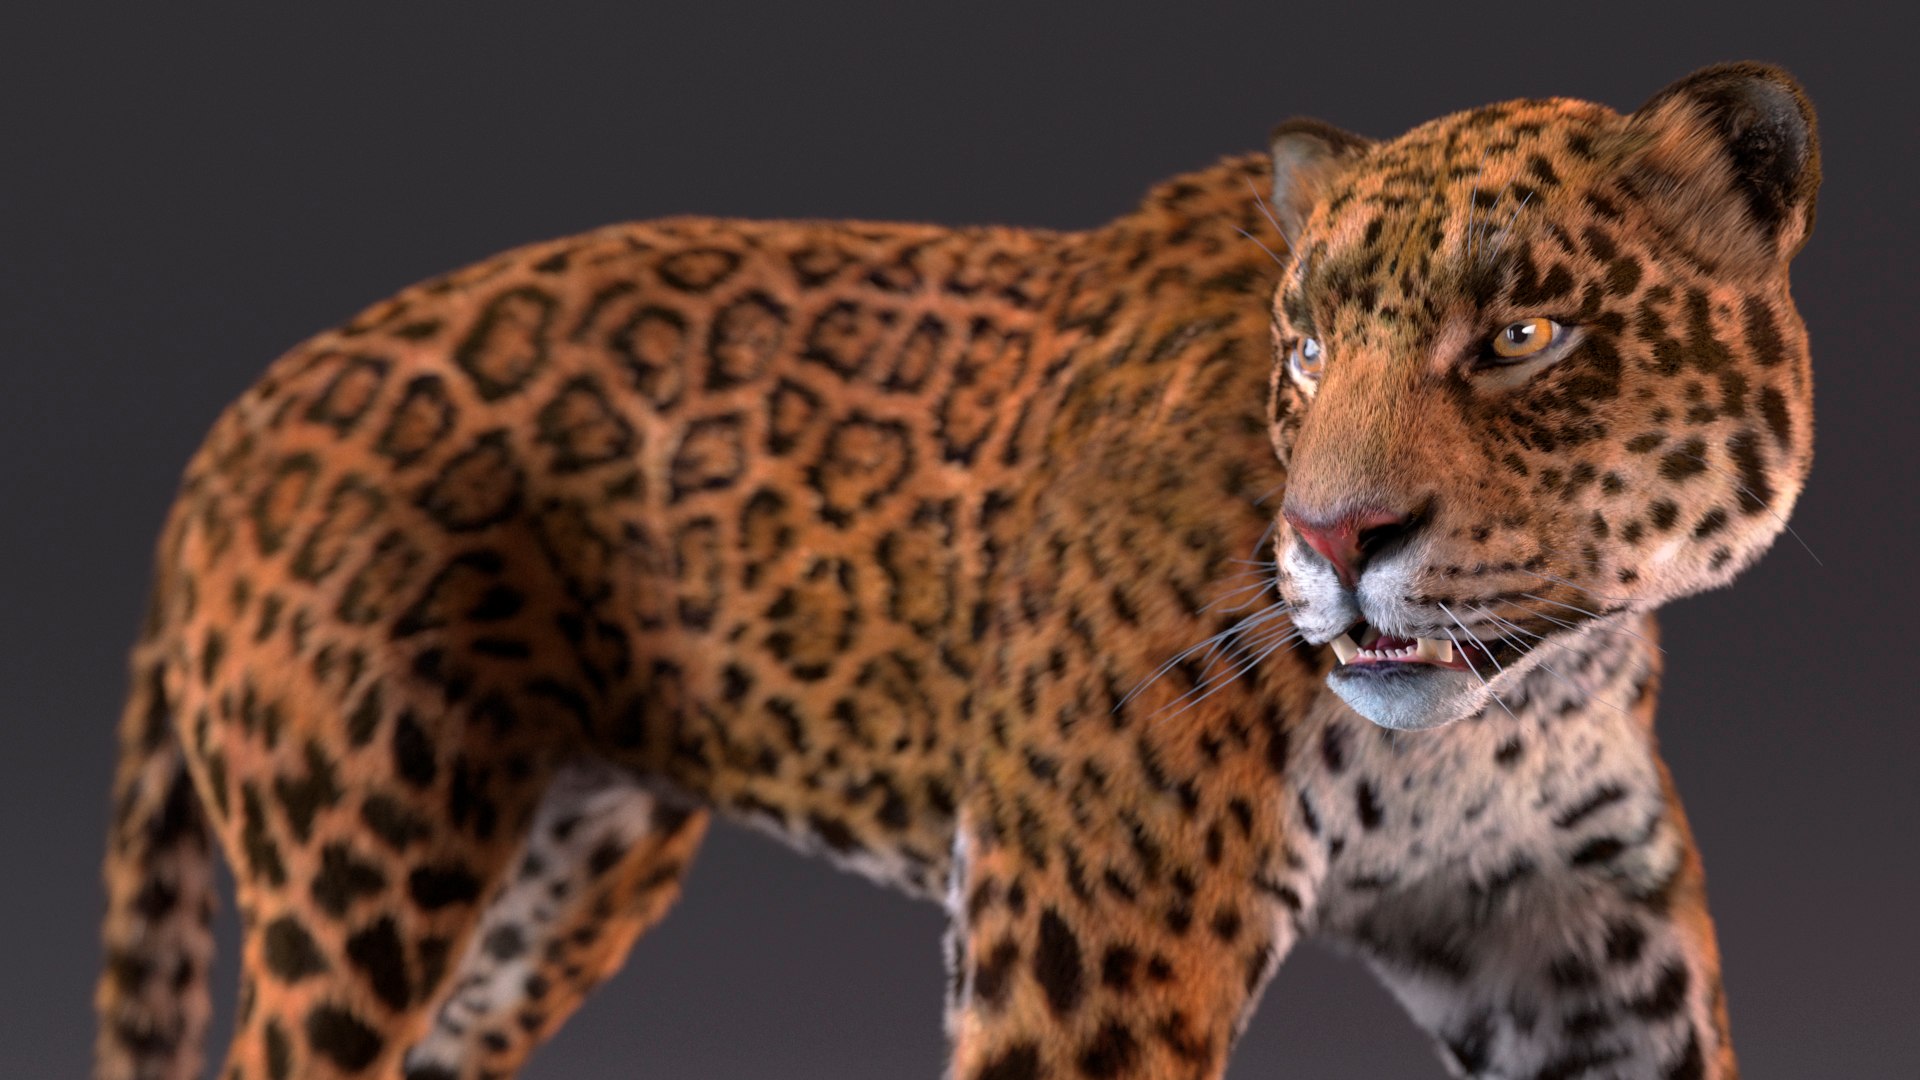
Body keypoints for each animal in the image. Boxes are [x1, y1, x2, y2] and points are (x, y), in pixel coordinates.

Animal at [96, 61, 1819, 1080]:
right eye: (1309, 353)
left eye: (1524, 334)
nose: (1336, 542)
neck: (1516, 700)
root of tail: (222, 440)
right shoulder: (1094, 939)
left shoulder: (1572, 938)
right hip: (368, 862)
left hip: (556, 874)